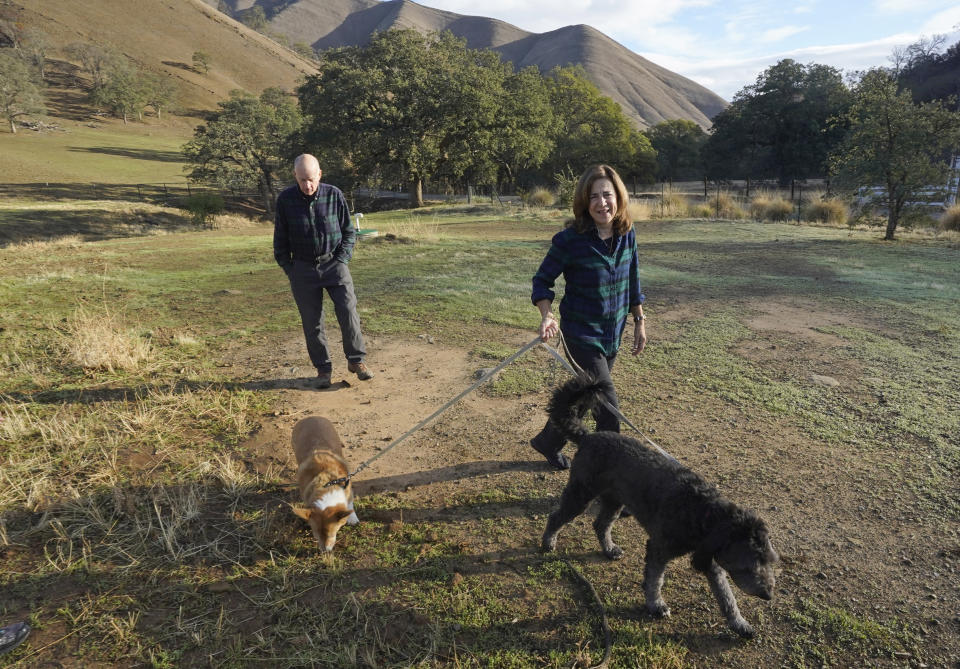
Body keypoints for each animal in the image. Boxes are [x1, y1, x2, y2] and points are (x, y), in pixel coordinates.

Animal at [290, 414, 358, 552]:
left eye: (332, 534)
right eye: (316, 535)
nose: (325, 551)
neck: (327, 485)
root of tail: (310, 417)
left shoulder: (348, 488)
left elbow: (350, 505)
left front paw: (353, 518)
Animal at [540, 374, 780, 640]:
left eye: (771, 561)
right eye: (749, 566)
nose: (768, 594)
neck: (703, 512)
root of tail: (589, 436)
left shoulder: (712, 560)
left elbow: (726, 596)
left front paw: (739, 624)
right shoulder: (659, 548)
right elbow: (655, 580)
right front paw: (656, 605)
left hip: (614, 500)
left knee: (601, 524)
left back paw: (609, 549)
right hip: (581, 494)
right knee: (556, 516)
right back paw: (548, 542)